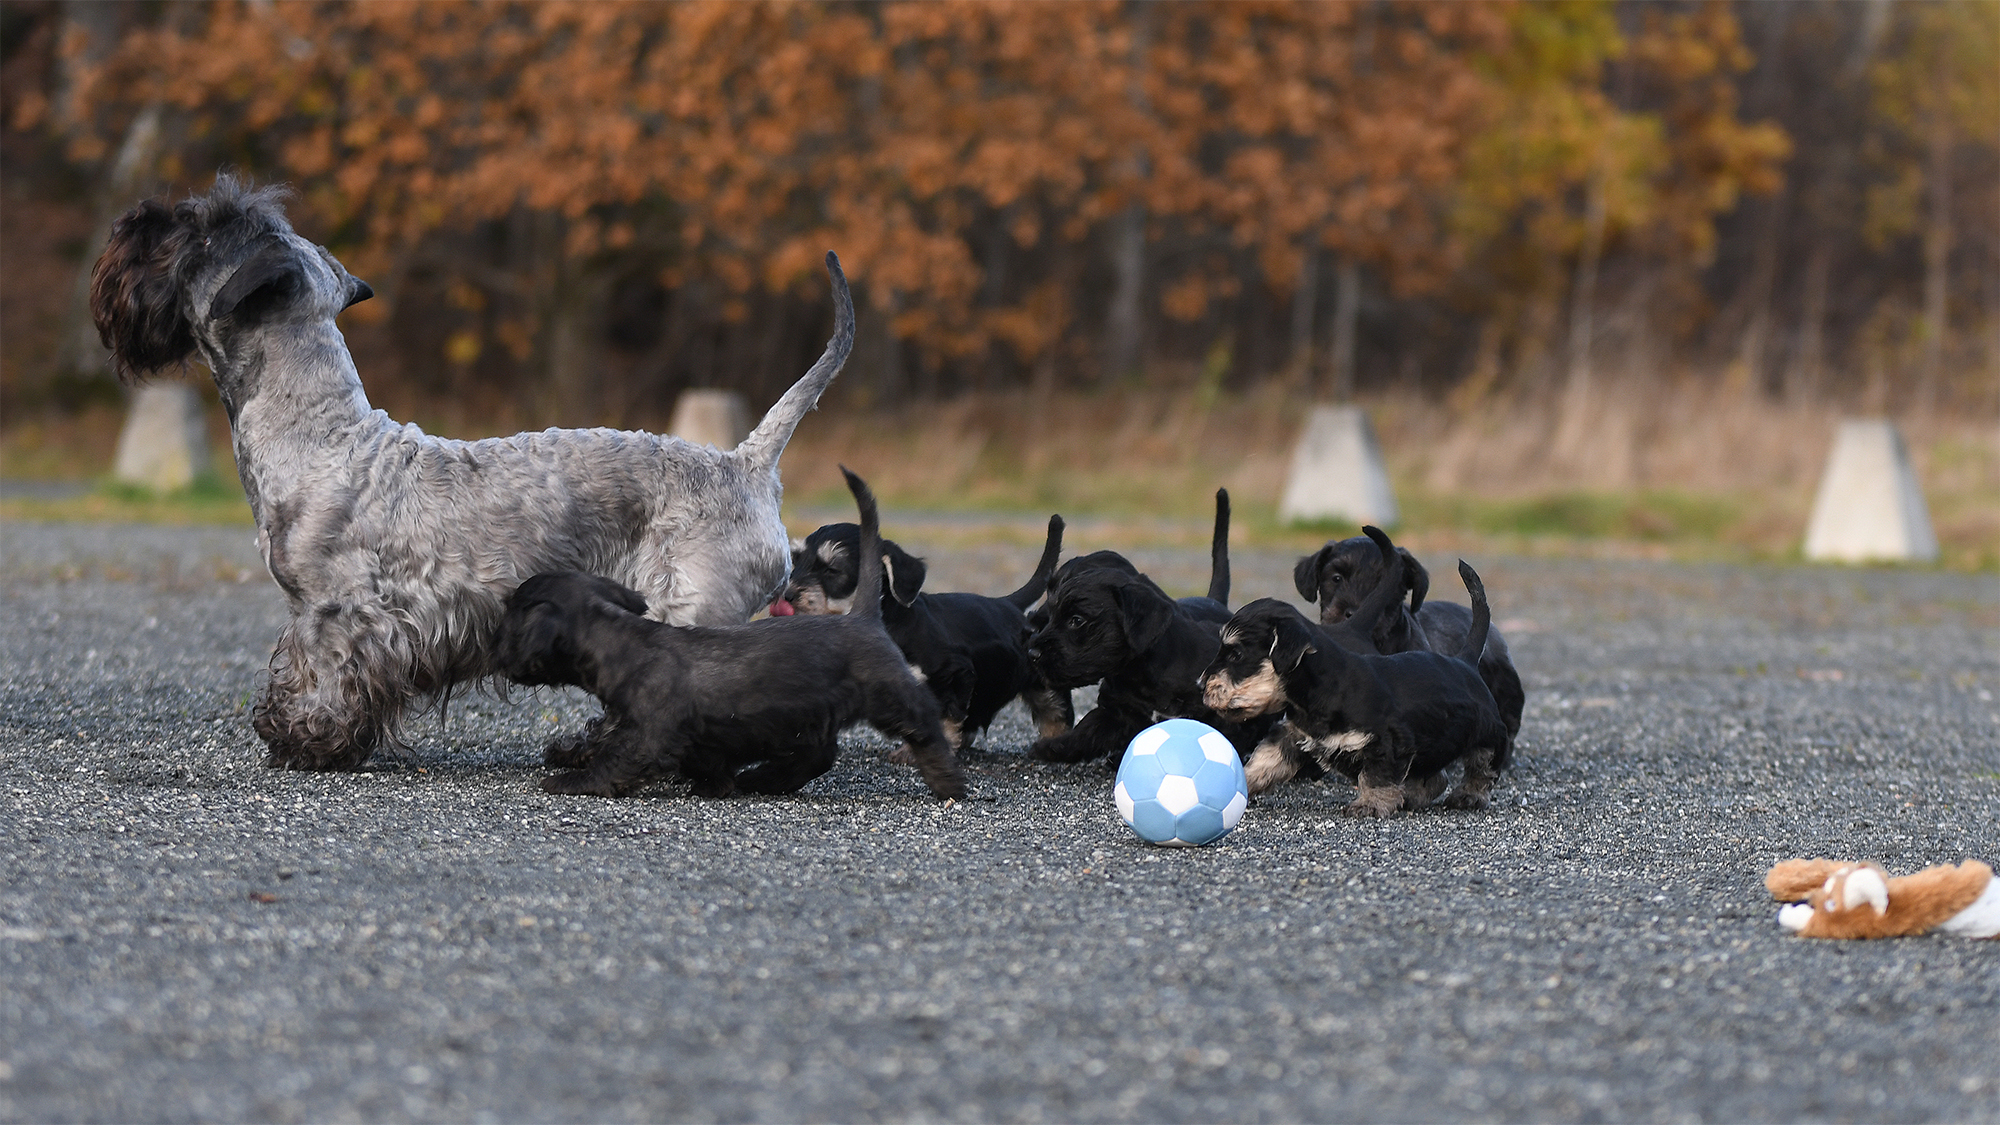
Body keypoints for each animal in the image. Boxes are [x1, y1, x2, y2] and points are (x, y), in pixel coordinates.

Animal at [90, 177, 856, 768]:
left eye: (204, 230)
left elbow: (322, 676)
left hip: (691, 615)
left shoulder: (336, 612)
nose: (131, 220)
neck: (316, 428)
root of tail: (747, 463)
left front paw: (306, 741)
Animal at [500, 468, 968, 800]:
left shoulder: (646, 735)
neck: (620, 642)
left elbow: (612, 762)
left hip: (890, 696)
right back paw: (766, 779)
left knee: (927, 724)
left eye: (512, 616)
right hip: (809, 718)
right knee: (818, 756)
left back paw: (947, 781)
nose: (499, 652)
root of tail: (863, 617)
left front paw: (568, 780)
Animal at [776, 504, 1064, 740]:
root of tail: (1008, 603)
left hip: (1040, 677)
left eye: (832, 570)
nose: (786, 595)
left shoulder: (955, 672)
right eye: (796, 561)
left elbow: (948, 718)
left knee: (1053, 710)